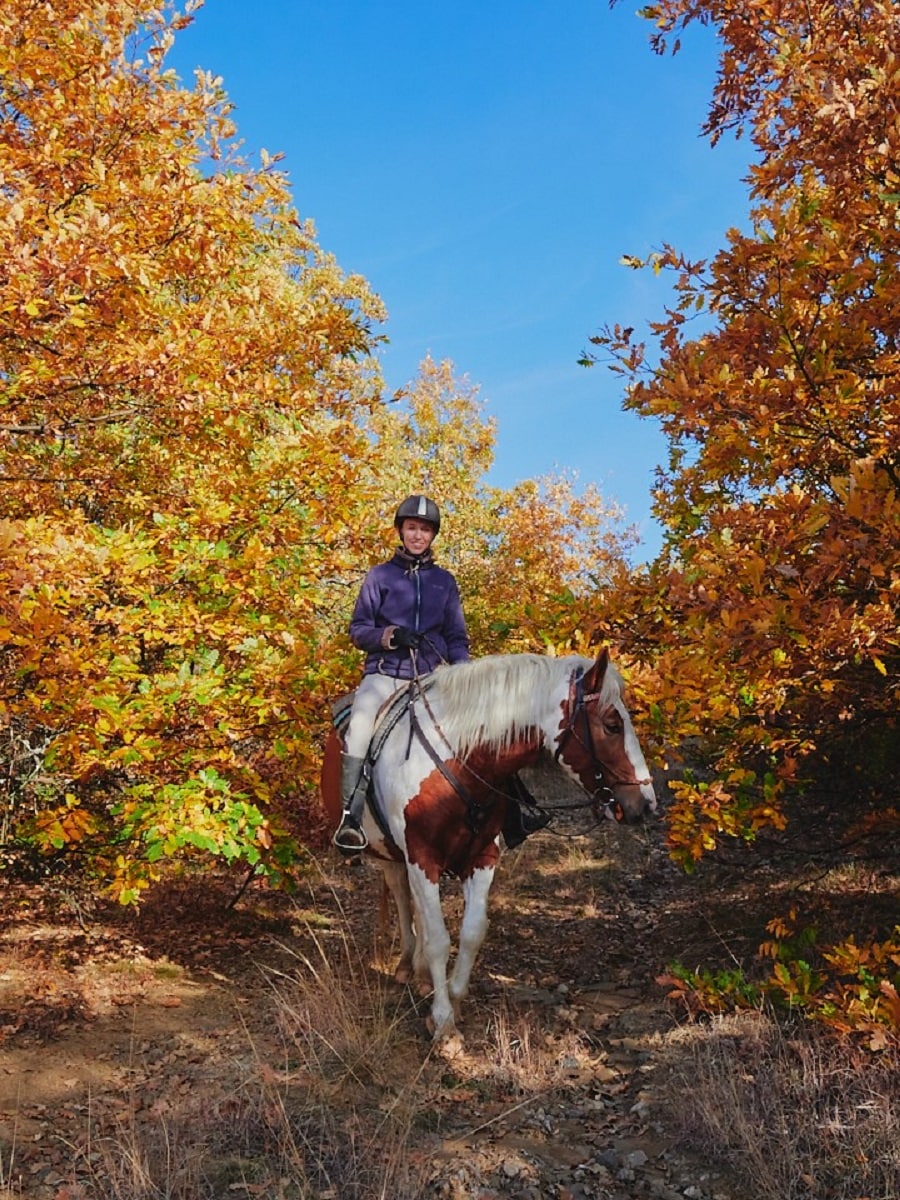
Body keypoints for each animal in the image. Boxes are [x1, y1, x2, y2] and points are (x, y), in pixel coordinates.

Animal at [319, 648, 656, 1042]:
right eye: (612, 725)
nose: (645, 803)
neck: (460, 760)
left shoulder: (483, 857)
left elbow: (472, 932)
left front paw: (452, 997)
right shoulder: (422, 857)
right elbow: (438, 938)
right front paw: (443, 1022)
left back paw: (421, 975)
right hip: (388, 852)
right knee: (403, 897)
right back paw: (407, 964)